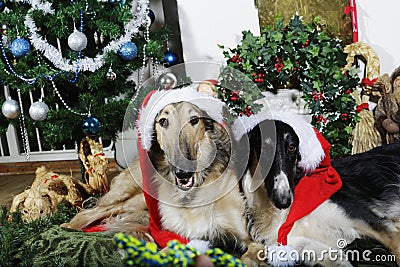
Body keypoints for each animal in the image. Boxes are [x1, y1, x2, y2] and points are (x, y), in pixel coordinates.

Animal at [234, 112, 400, 266]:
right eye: (263, 149)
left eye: (292, 147)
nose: (283, 201)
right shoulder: (318, 249)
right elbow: (246, 258)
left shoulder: (373, 222)